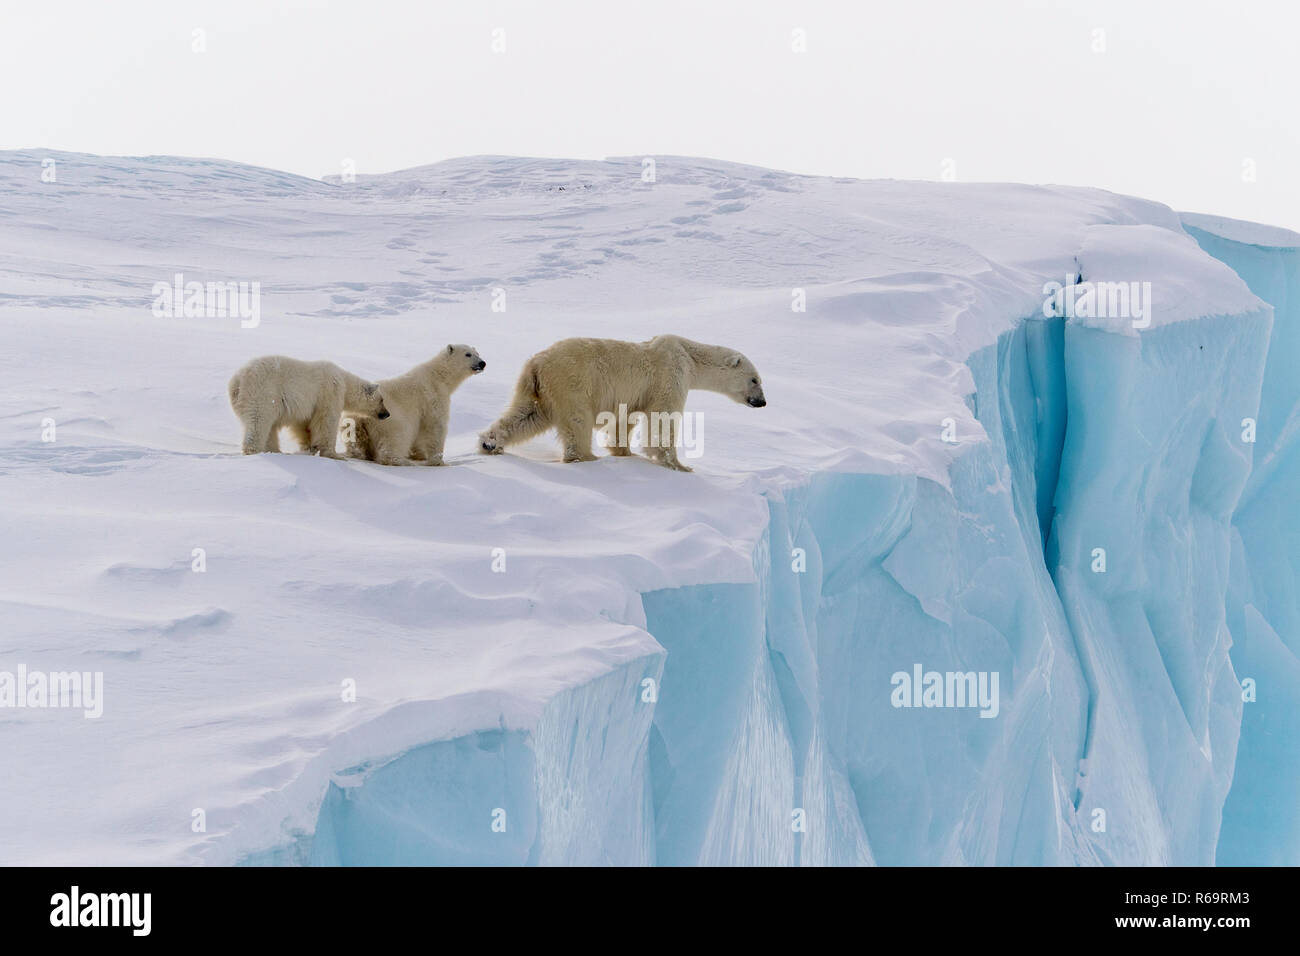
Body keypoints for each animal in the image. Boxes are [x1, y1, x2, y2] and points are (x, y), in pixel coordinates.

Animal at [228, 356, 390, 457]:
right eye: (382, 400)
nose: (387, 414)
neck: (344, 380)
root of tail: (236, 382)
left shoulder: (307, 407)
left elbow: (304, 425)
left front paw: (310, 447)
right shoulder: (330, 392)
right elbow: (326, 421)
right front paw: (333, 454)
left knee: (269, 427)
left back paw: (275, 451)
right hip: (262, 392)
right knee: (259, 421)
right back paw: (255, 451)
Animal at [345, 343, 488, 468]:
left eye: (477, 353)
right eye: (468, 354)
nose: (482, 363)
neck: (438, 375)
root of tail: (359, 417)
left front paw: (420, 455)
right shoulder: (433, 397)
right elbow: (435, 426)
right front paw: (439, 461)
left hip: (351, 425)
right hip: (387, 417)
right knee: (397, 436)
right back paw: (403, 461)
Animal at [478, 335, 759, 473]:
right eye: (755, 379)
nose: (762, 401)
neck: (689, 356)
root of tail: (535, 364)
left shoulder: (636, 394)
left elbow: (624, 420)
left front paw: (625, 452)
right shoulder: (669, 375)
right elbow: (663, 418)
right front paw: (680, 465)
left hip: (538, 391)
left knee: (526, 416)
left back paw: (489, 443)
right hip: (572, 383)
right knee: (577, 421)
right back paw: (586, 457)